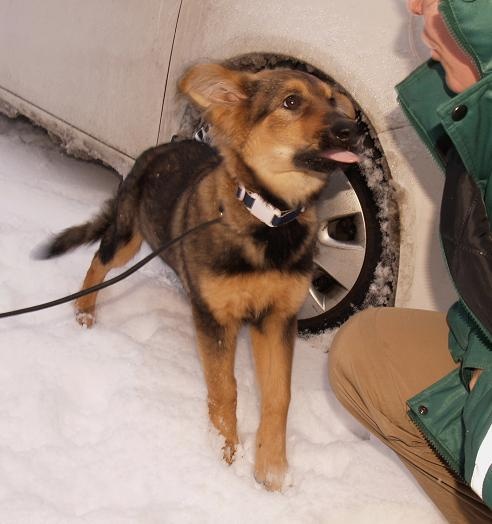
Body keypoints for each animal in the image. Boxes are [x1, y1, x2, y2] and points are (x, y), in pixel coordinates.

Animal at [40, 63, 362, 491]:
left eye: (331, 99)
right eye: (291, 102)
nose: (352, 129)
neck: (270, 221)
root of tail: (161, 147)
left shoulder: (277, 318)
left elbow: (279, 396)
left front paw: (272, 470)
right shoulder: (217, 319)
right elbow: (225, 390)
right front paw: (224, 455)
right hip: (129, 236)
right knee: (98, 260)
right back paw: (84, 312)